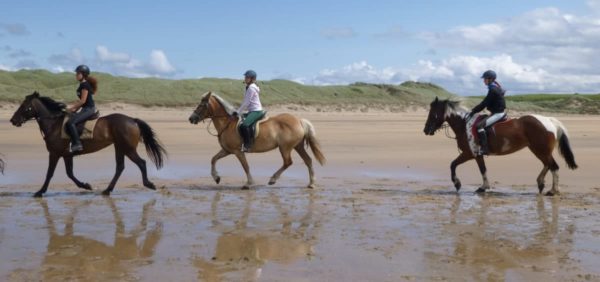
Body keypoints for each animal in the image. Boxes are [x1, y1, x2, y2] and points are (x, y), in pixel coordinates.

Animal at [9, 92, 168, 196]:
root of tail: (133, 120)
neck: (54, 124)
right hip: (119, 147)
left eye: (24, 106)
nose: (12, 120)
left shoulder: (54, 154)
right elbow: (70, 173)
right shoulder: (67, 155)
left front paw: (40, 191)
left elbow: (50, 173)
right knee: (120, 167)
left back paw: (149, 184)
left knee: (141, 163)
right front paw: (86, 186)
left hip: (128, 148)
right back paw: (107, 190)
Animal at [189, 92, 326, 189]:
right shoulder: (227, 150)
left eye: (202, 105)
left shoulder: (238, 152)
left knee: (288, 162)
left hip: (285, 148)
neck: (227, 123)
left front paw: (249, 183)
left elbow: (246, 166)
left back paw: (273, 179)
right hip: (298, 146)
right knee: (308, 160)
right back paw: (311, 183)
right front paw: (216, 177)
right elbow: (213, 159)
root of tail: (299, 120)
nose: (191, 118)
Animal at [422, 98, 576, 195]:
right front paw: (483, 187)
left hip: (540, 150)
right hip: (538, 150)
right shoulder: (477, 155)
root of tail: (549, 120)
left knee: (553, 166)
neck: (464, 124)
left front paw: (457, 183)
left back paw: (553, 191)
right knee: (548, 165)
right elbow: (482, 169)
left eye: (432, 113)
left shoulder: (469, 154)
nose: (426, 130)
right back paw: (541, 183)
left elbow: (453, 164)